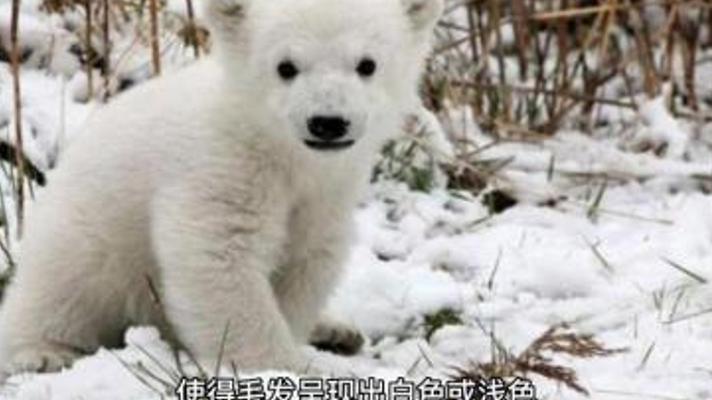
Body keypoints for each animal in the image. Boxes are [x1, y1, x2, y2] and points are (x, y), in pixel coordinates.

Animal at [0, 0, 443, 376]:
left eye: (367, 64)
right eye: (285, 66)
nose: (328, 122)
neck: (277, 148)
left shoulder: (327, 192)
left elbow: (307, 259)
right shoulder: (221, 169)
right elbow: (218, 257)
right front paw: (288, 368)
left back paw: (338, 330)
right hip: (87, 236)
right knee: (61, 287)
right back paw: (43, 352)